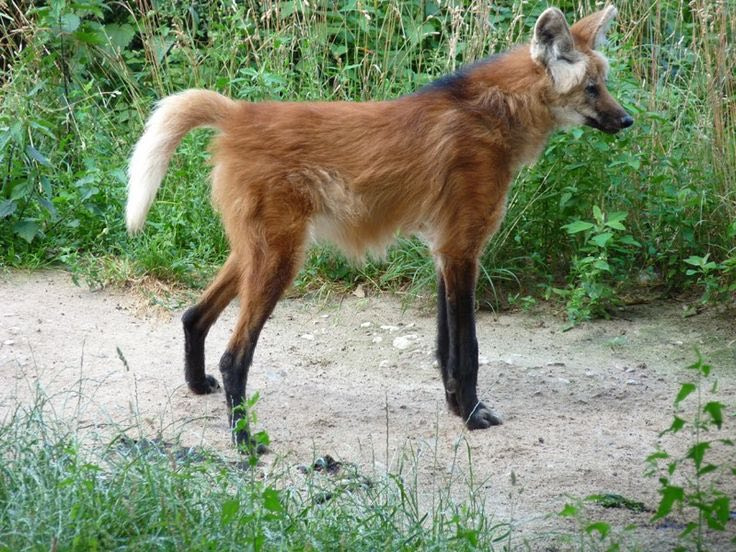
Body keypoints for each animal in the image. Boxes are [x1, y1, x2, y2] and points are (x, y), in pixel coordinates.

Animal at [126, 6, 632, 449]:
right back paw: (245, 439)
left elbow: (444, 346)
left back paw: (198, 385)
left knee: (194, 315)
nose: (627, 120)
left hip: (258, 250)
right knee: (235, 355)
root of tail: (237, 112)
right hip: (281, 258)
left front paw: (455, 408)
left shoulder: (443, 249)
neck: (496, 112)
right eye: (592, 88)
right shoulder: (462, 247)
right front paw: (473, 415)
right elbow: (466, 349)